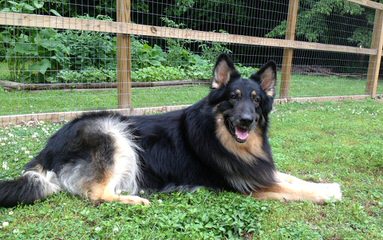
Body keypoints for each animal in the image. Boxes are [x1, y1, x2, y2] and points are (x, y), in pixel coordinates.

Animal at [0, 53, 342, 207]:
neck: (222, 138)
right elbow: (292, 189)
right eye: (233, 98)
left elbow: (291, 178)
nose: (246, 121)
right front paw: (326, 194)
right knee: (96, 194)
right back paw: (135, 200)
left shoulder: (260, 170)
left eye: (256, 100)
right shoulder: (249, 186)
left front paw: (326, 184)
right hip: (114, 134)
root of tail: (47, 148)